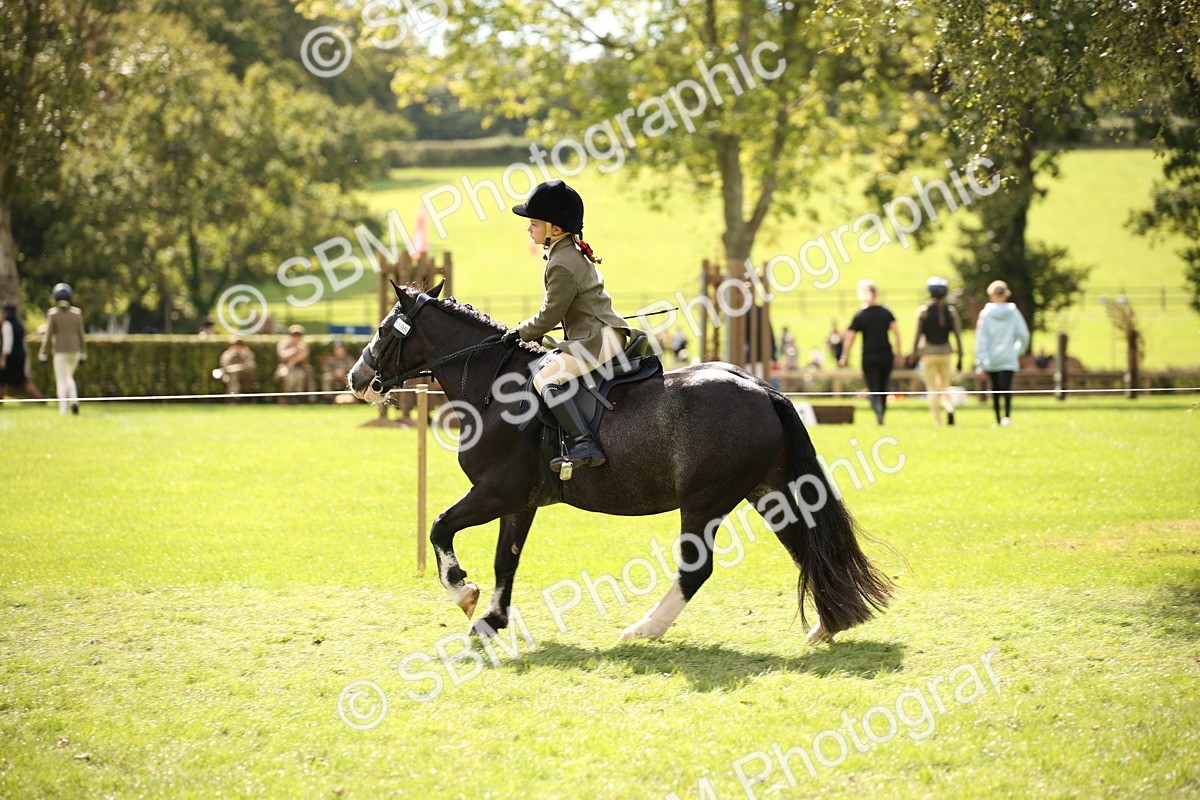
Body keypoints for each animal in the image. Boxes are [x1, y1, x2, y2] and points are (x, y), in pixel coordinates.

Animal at [348, 281, 893, 644]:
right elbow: (507, 560)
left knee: (696, 568)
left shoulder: (496, 491)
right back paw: (826, 625)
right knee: (807, 545)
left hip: (706, 500)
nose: (356, 378)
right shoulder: (519, 503)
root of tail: (761, 388)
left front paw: (464, 593)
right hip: (771, 491)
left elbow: (441, 527)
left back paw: (644, 629)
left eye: (383, 329)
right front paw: (492, 620)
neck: (493, 388)